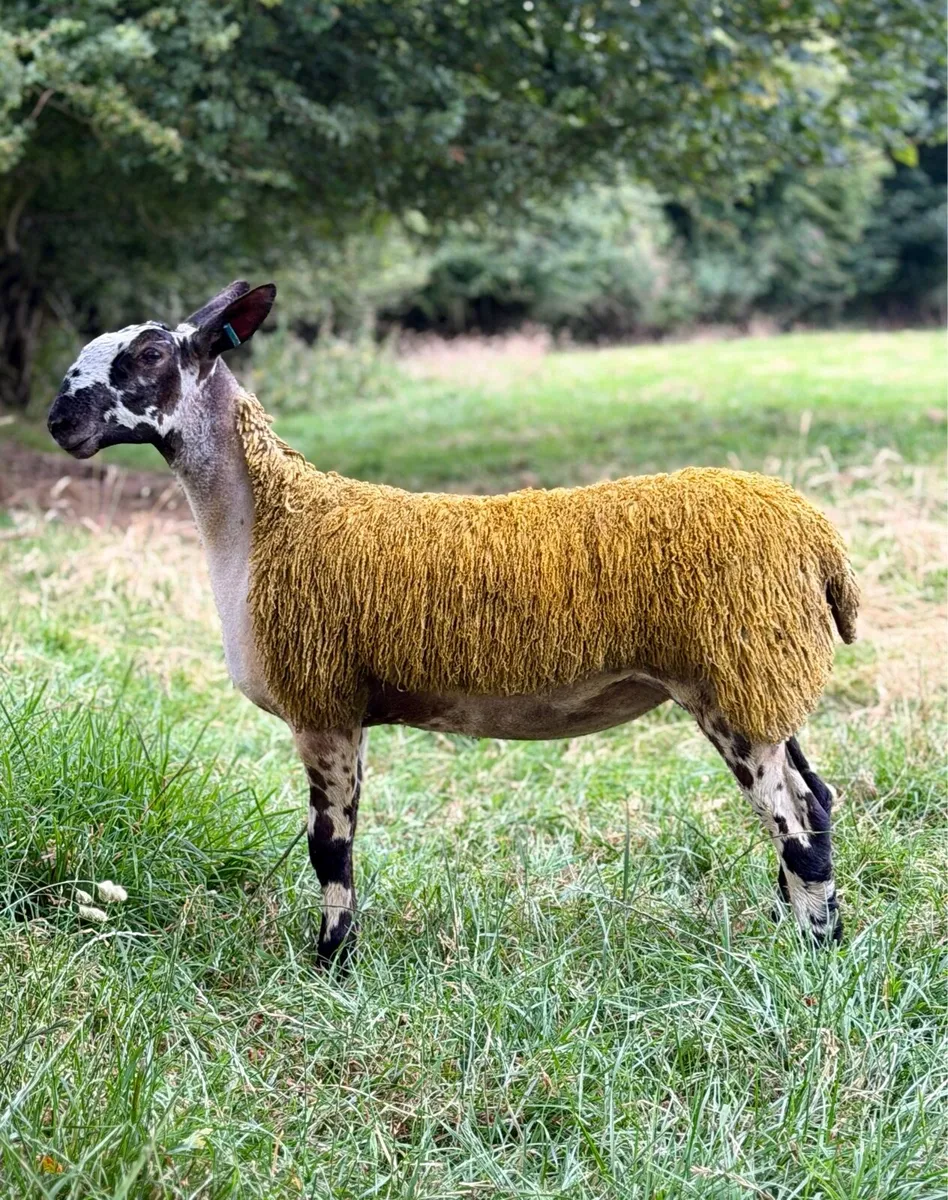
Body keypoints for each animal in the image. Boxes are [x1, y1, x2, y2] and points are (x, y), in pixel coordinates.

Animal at [47, 280, 859, 962]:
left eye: (150, 354)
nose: (60, 421)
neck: (264, 525)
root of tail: (818, 537)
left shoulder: (324, 705)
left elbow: (330, 848)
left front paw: (330, 963)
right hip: (760, 677)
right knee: (816, 803)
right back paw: (800, 929)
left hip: (733, 678)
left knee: (796, 829)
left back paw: (814, 956)